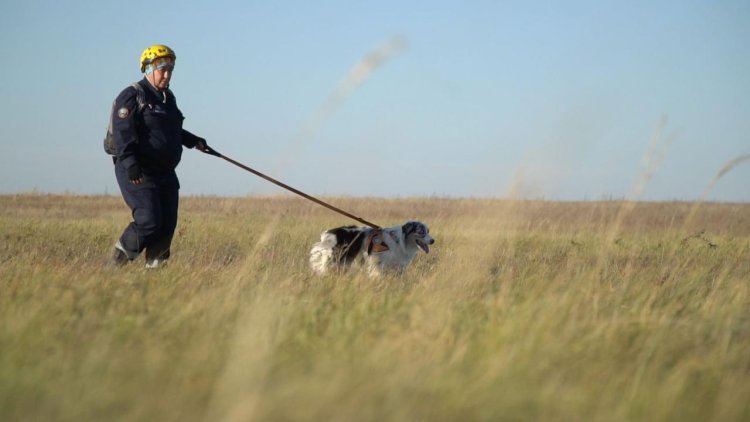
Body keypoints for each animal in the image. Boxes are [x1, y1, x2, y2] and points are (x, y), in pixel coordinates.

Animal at [310, 221, 438, 276]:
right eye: (421, 232)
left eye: (428, 231)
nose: (433, 241)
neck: (401, 240)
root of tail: (330, 233)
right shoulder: (379, 265)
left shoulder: (397, 267)